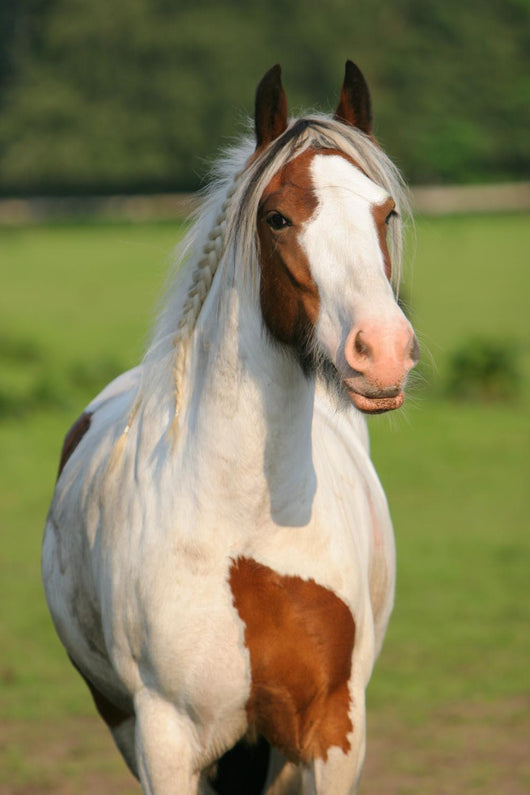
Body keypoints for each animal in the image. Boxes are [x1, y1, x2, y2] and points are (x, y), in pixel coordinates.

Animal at [42, 61, 419, 794]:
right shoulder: (164, 740)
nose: (383, 351)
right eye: (277, 217)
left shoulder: (333, 730)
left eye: (384, 211)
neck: (247, 530)